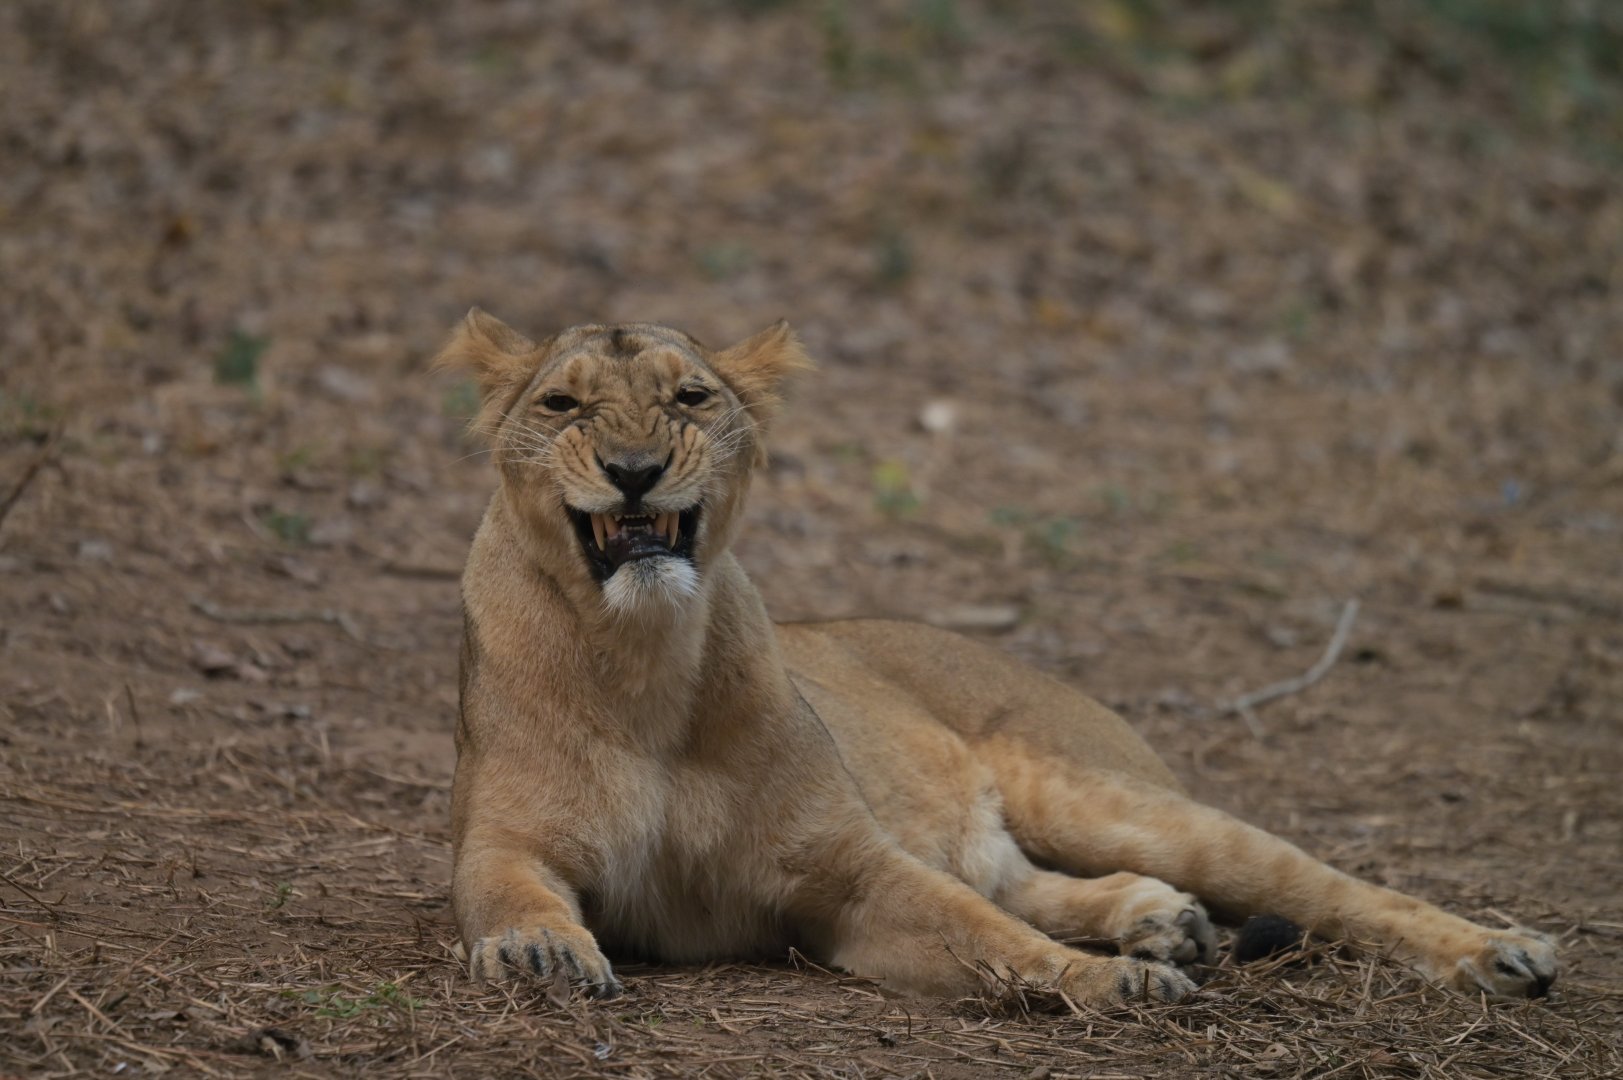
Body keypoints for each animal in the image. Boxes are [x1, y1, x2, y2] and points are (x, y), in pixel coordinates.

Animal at [435, 310, 1557, 1007]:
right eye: (562, 406)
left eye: (691, 399)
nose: (634, 469)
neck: (645, 660)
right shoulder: (505, 836)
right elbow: (505, 888)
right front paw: (542, 952)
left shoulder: (849, 874)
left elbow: (989, 937)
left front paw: (1116, 986)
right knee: (1018, 877)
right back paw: (1160, 920)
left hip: (1103, 796)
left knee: (1324, 886)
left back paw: (1501, 952)